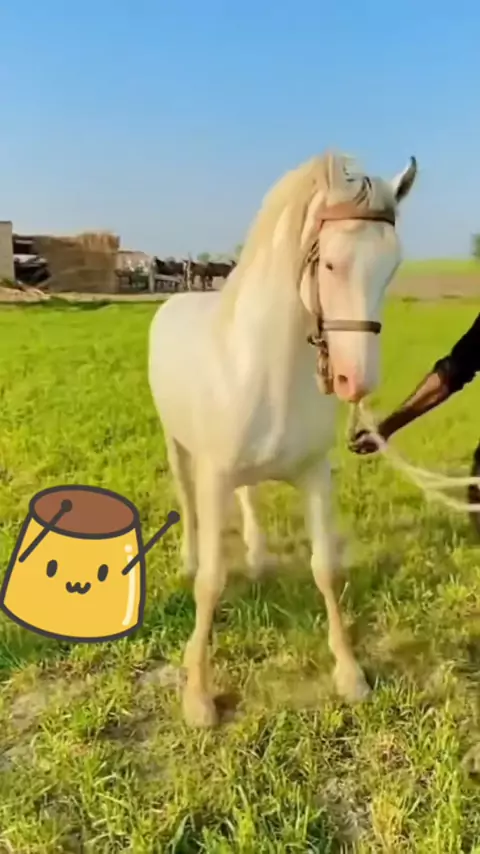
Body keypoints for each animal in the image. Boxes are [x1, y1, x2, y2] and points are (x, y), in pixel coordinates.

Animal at [148, 150, 418, 727]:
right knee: (187, 501)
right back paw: (189, 557)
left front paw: (350, 674)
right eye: (331, 264)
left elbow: (325, 569)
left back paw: (259, 556)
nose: (356, 382)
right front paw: (199, 697)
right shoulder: (214, 476)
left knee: (250, 498)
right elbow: (211, 581)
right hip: (177, 447)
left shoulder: (314, 475)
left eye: (393, 266)